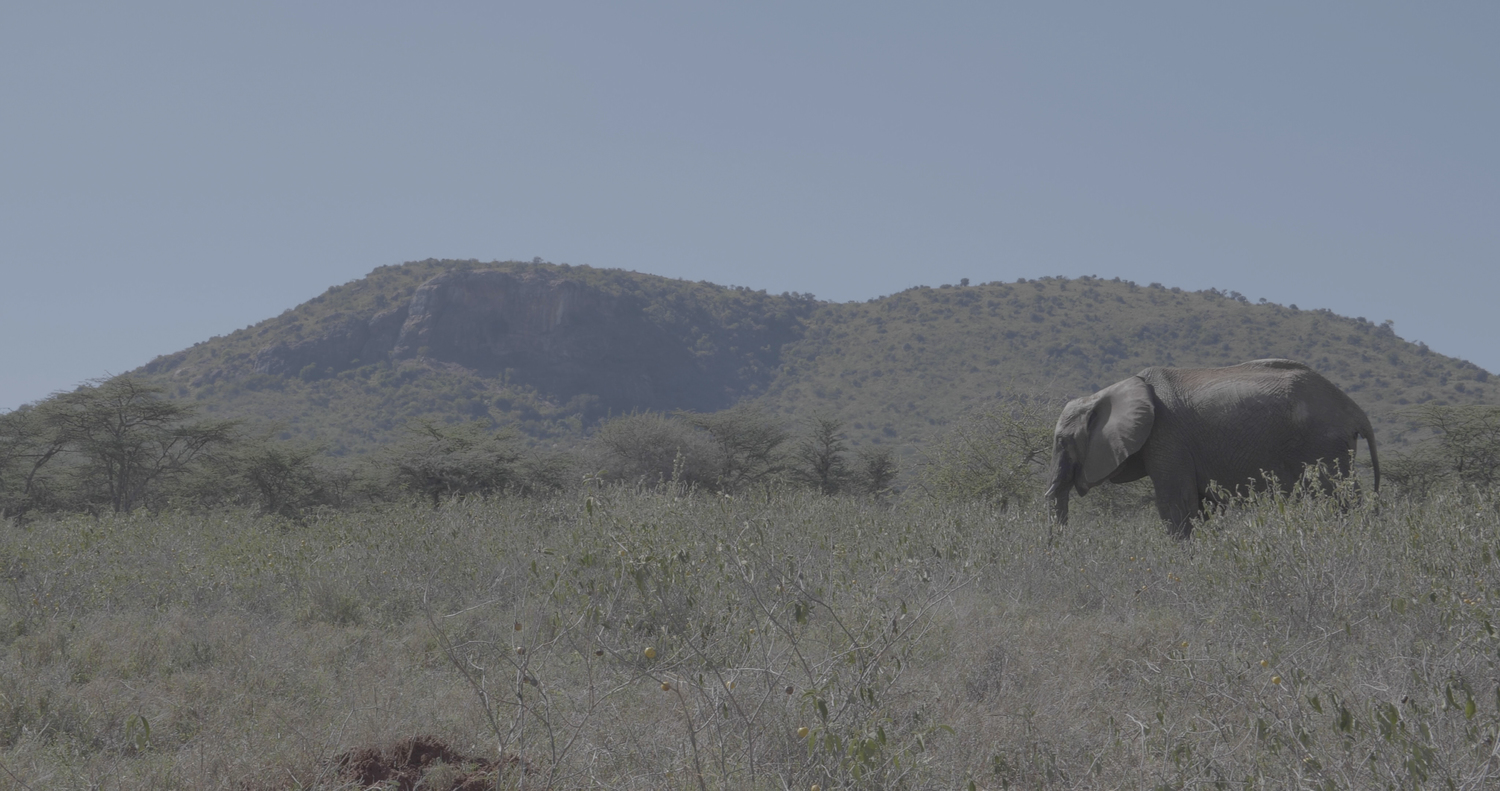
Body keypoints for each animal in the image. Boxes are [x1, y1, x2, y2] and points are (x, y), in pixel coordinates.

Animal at [1045, 359, 1379, 537]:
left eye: (1062, 441)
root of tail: (1356, 412)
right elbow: (1202, 506)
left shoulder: (1167, 437)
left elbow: (1176, 505)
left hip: (1323, 445)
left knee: (1338, 498)